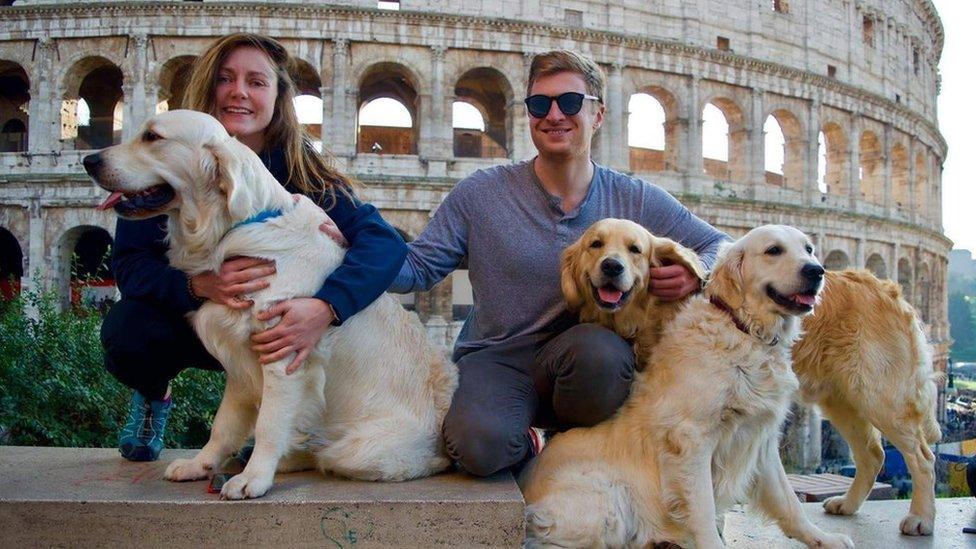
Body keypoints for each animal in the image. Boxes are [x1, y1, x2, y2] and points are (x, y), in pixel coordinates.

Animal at [524, 224, 852, 548]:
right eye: (774, 250)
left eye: (808, 249)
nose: (817, 271)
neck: (744, 332)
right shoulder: (691, 439)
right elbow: (704, 510)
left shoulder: (760, 438)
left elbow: (790, 504)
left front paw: (824, 538)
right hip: (608, 502)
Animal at [552, 219, 940, 536]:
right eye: (596, 244)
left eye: (635, 249)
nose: (816, 271)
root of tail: (883, 285)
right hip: (840, 398)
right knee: (873, 453)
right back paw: (847, 504)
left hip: (880, 396)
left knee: (922, 456)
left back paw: (921, 518)